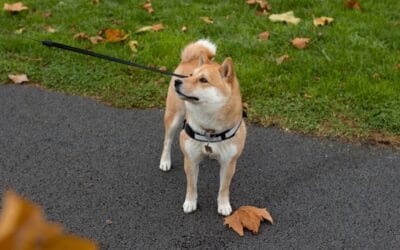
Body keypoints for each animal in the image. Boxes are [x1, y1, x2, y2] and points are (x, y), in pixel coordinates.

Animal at [158, 39, 245, 217]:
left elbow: (224, 187)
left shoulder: (229, 162)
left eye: (203, 80)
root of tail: (189, 59)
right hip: (174, 117)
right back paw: (165, 161)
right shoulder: (190, 158)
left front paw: (223, 205)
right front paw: (190, 203)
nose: (178, 82)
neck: (209, 129)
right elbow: (192, 185)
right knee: (167, 141)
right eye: (191, 76)